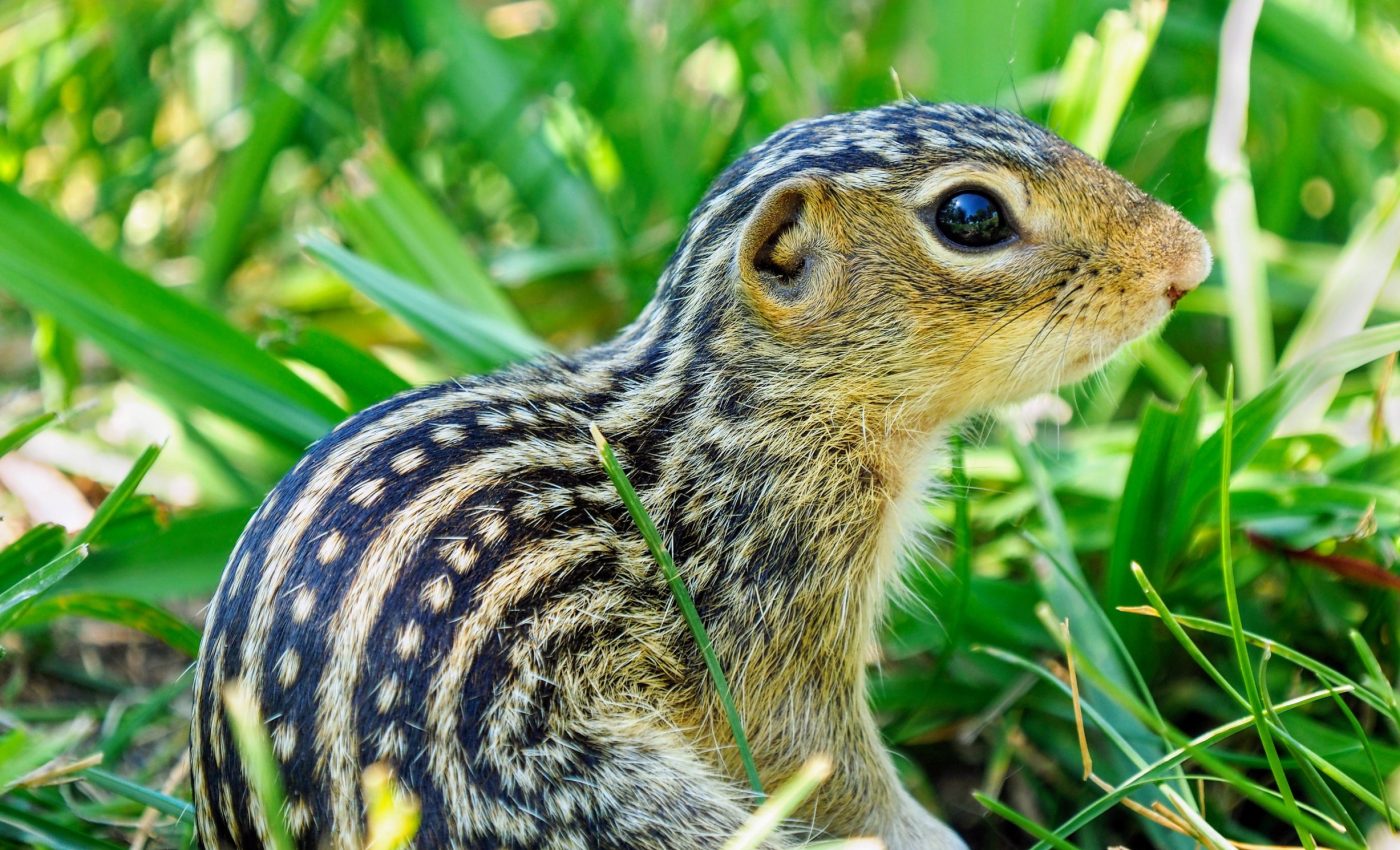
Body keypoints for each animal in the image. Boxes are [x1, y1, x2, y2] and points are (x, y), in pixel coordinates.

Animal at [190, 100, 1210, 849]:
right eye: (970, 216)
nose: (1192, 261)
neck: (739, 407)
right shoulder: (773, 610)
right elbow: (824, 760)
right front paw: (931, 836)